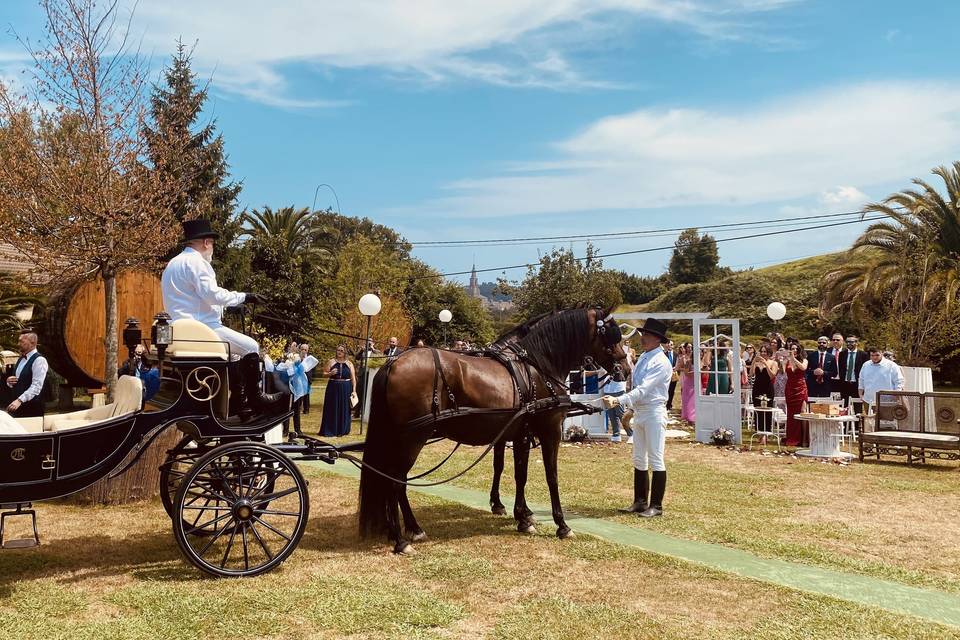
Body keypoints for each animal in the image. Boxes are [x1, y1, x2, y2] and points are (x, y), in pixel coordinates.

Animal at [358, 308, 624, 552]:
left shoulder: (519, 434)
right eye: (612, 336)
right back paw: (401, 539)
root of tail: (392, 363)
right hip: (412, 438)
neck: (537, 367)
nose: (624, 368)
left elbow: (518, 474)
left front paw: (522, 516)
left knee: (396, 480)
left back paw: (411, 529)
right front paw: (561, 524)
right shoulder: (549, 431)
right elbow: (551, 477)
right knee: (395, 481)